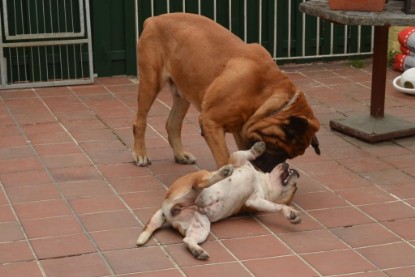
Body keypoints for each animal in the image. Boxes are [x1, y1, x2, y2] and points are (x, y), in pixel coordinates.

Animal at [132, 14, 320, 172]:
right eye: (279, 151)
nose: (270, 168)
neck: (265, 94)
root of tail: (153, 20)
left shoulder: (241, 129)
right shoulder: (211, 122)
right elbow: (224, 158)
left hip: (183, 91)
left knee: (173, 124)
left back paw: (180, 154)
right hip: (150, 82)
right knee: (140, 121)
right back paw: (140, 154)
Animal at [137, 142, 302, 258]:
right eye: (295, 188)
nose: (298, 173)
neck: (262, 181)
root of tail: (165, 207)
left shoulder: (254, 201)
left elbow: (274, 206)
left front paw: (290, 214)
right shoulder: (239, 159)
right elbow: (246, 153)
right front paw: (258, 148)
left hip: (200, 226)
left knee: (188, 239)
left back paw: (198, 251)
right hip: (197, 181)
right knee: (200, 183)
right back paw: (223, 172)